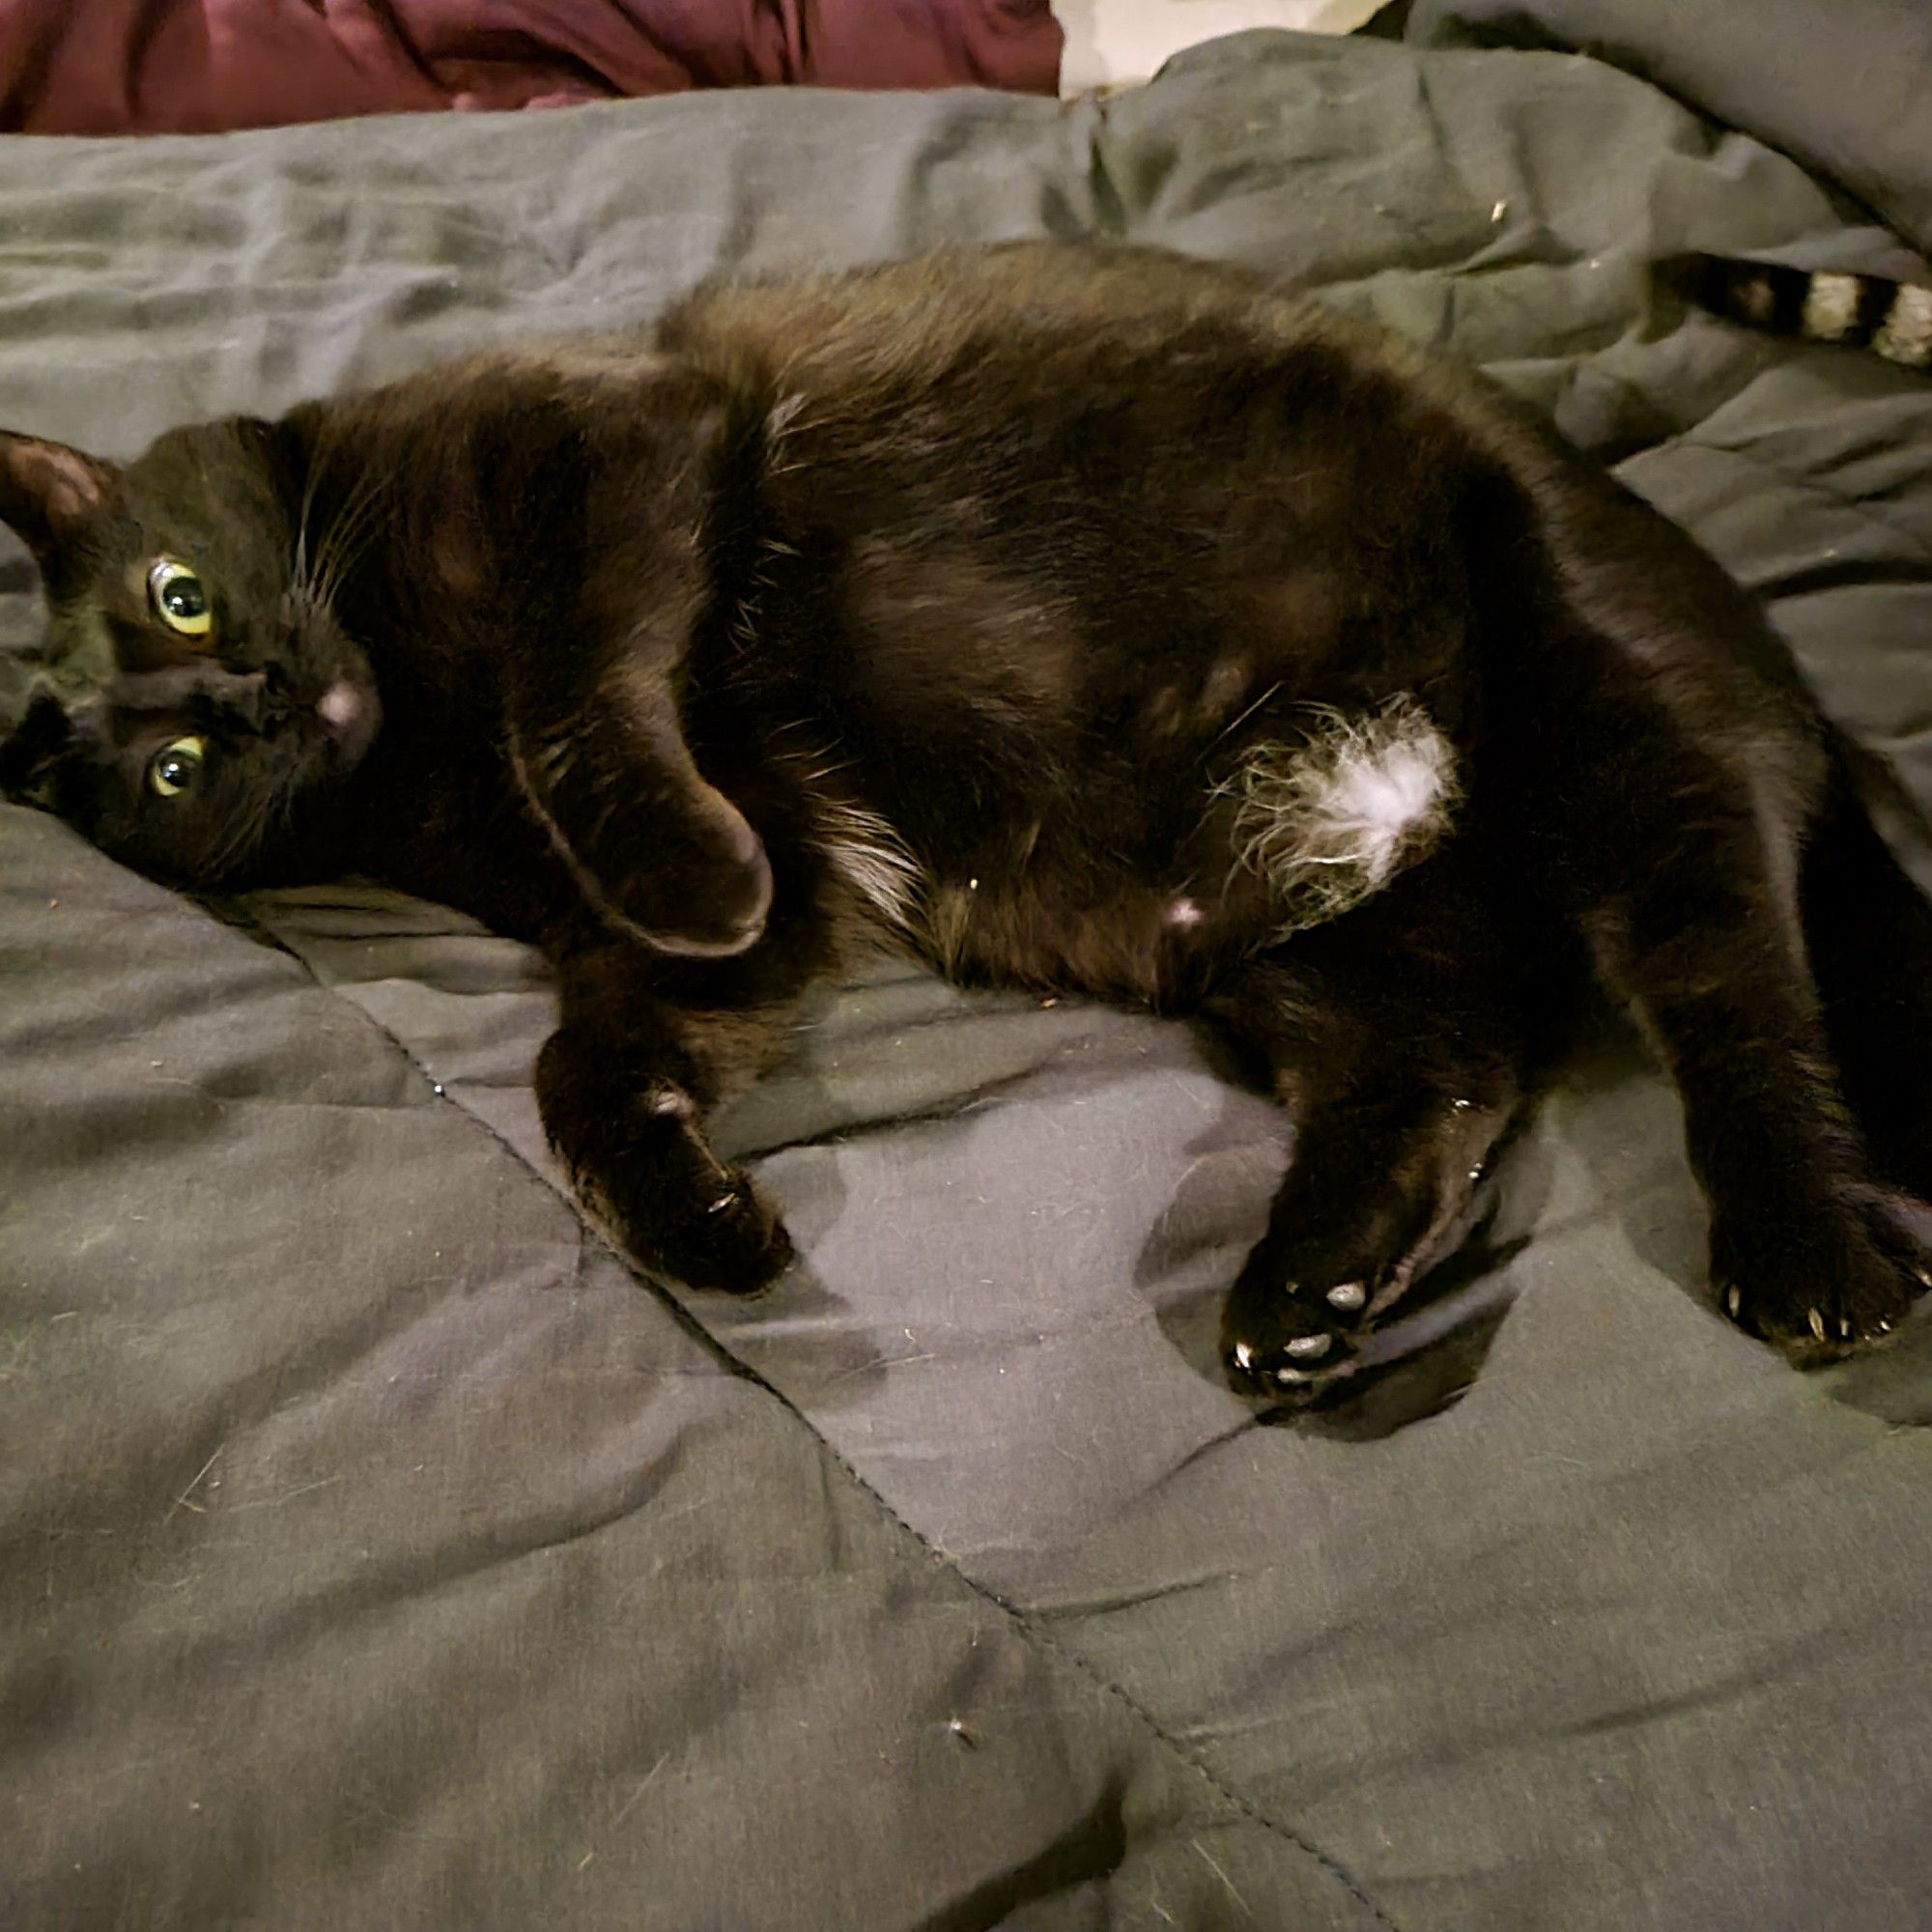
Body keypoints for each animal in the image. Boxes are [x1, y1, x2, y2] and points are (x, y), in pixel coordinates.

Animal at [3, 242, 1932, 1399]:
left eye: (180, 593)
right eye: (169, 772)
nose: (256, 699)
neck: (411, 724)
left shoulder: (617, 452)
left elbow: (581, 694)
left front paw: (671, 865)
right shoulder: (749, 907)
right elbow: (589, 1064)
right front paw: (702, 1223)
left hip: (1608, 723)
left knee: (1737, 991)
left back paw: (1808, 1250)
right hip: (1327, 943)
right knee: (1446, 1076)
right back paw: (1308, 1301)